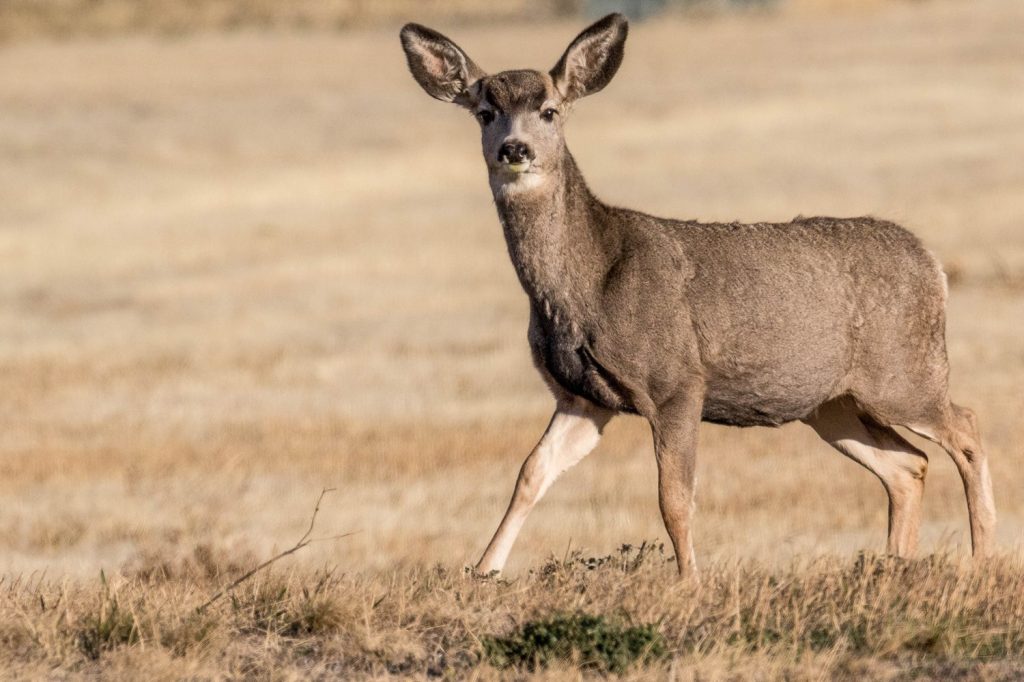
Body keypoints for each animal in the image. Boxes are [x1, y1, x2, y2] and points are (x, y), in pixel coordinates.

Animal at [397, 13, 991, 573]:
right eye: (485, 112)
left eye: (549, 111)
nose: (514, 149)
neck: (591, 280)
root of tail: (933, 265)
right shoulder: (583, 396)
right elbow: (529, 474)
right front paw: (482, 572)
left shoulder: (677, 381)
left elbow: (674, 500)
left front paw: (690, 582)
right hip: (831, 401)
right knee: (908, 465)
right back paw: (898, 565)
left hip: (905, 372)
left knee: (966, 429)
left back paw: (981, 561)